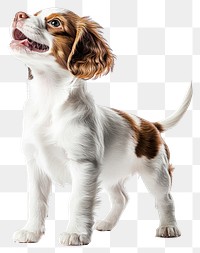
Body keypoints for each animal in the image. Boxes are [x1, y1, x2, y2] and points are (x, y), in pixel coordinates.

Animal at [10, 7, 191, 245]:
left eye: (55, 23)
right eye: (34, 12)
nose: (18, 14)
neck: (49, 99)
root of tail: (151, 125)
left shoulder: (83, 164)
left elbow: (78, 201)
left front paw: (75, 233)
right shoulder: (35, 164)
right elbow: (36, 201)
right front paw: (31, 232)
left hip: (156, 172)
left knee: (165, 198)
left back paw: (168, 227)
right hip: (112, 173)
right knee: (122, 197)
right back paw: (107, 223)